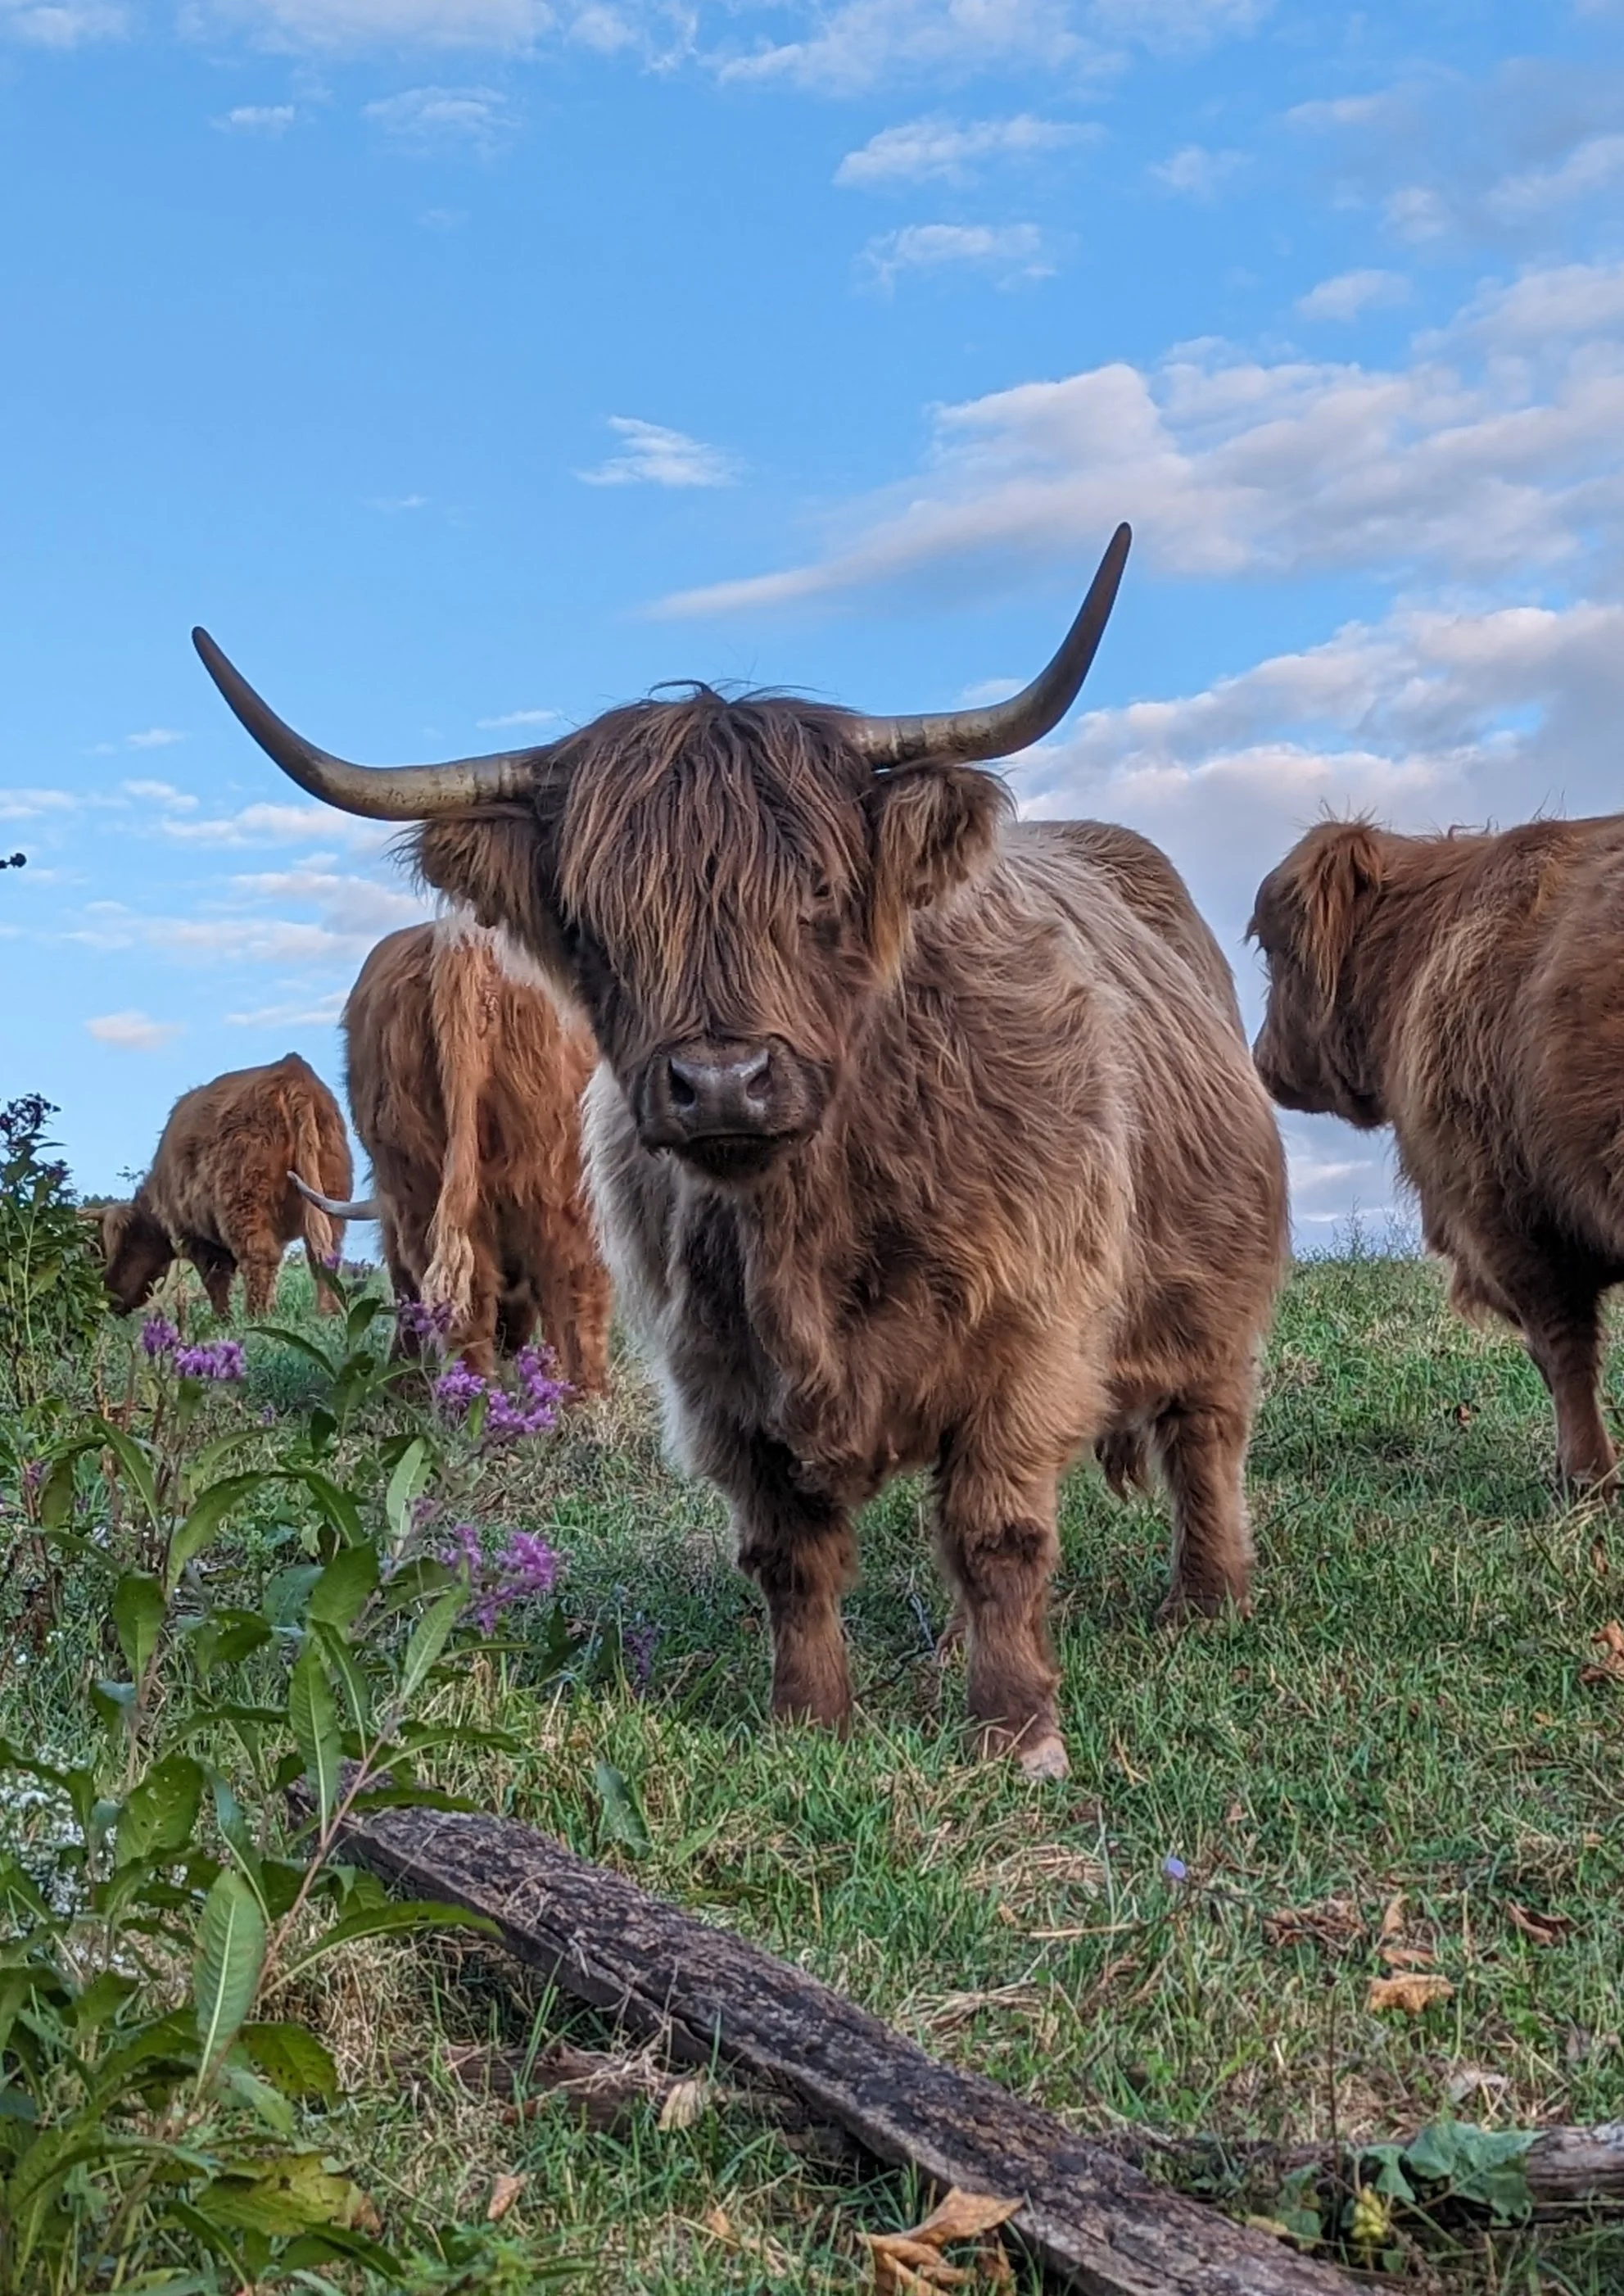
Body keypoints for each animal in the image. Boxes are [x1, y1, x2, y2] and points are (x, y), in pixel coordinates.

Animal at [99, 1053, 351, 1320]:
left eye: (122, 1250)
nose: (110, 1301)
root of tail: (292, 1072)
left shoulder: (196, 1235)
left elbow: (216, 1277)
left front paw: (224, 1320)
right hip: (331, 1196)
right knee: (324, 1256)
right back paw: (328, 1314)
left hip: (245, 1200)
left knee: (260, 1256)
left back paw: (255, 1317)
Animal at [292, 919, 610, 1391]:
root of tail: (463, 946)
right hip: (561, 1175)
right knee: (571, 1280)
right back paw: (581, 1395)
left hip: (419, 1173)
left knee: (464, 1295)